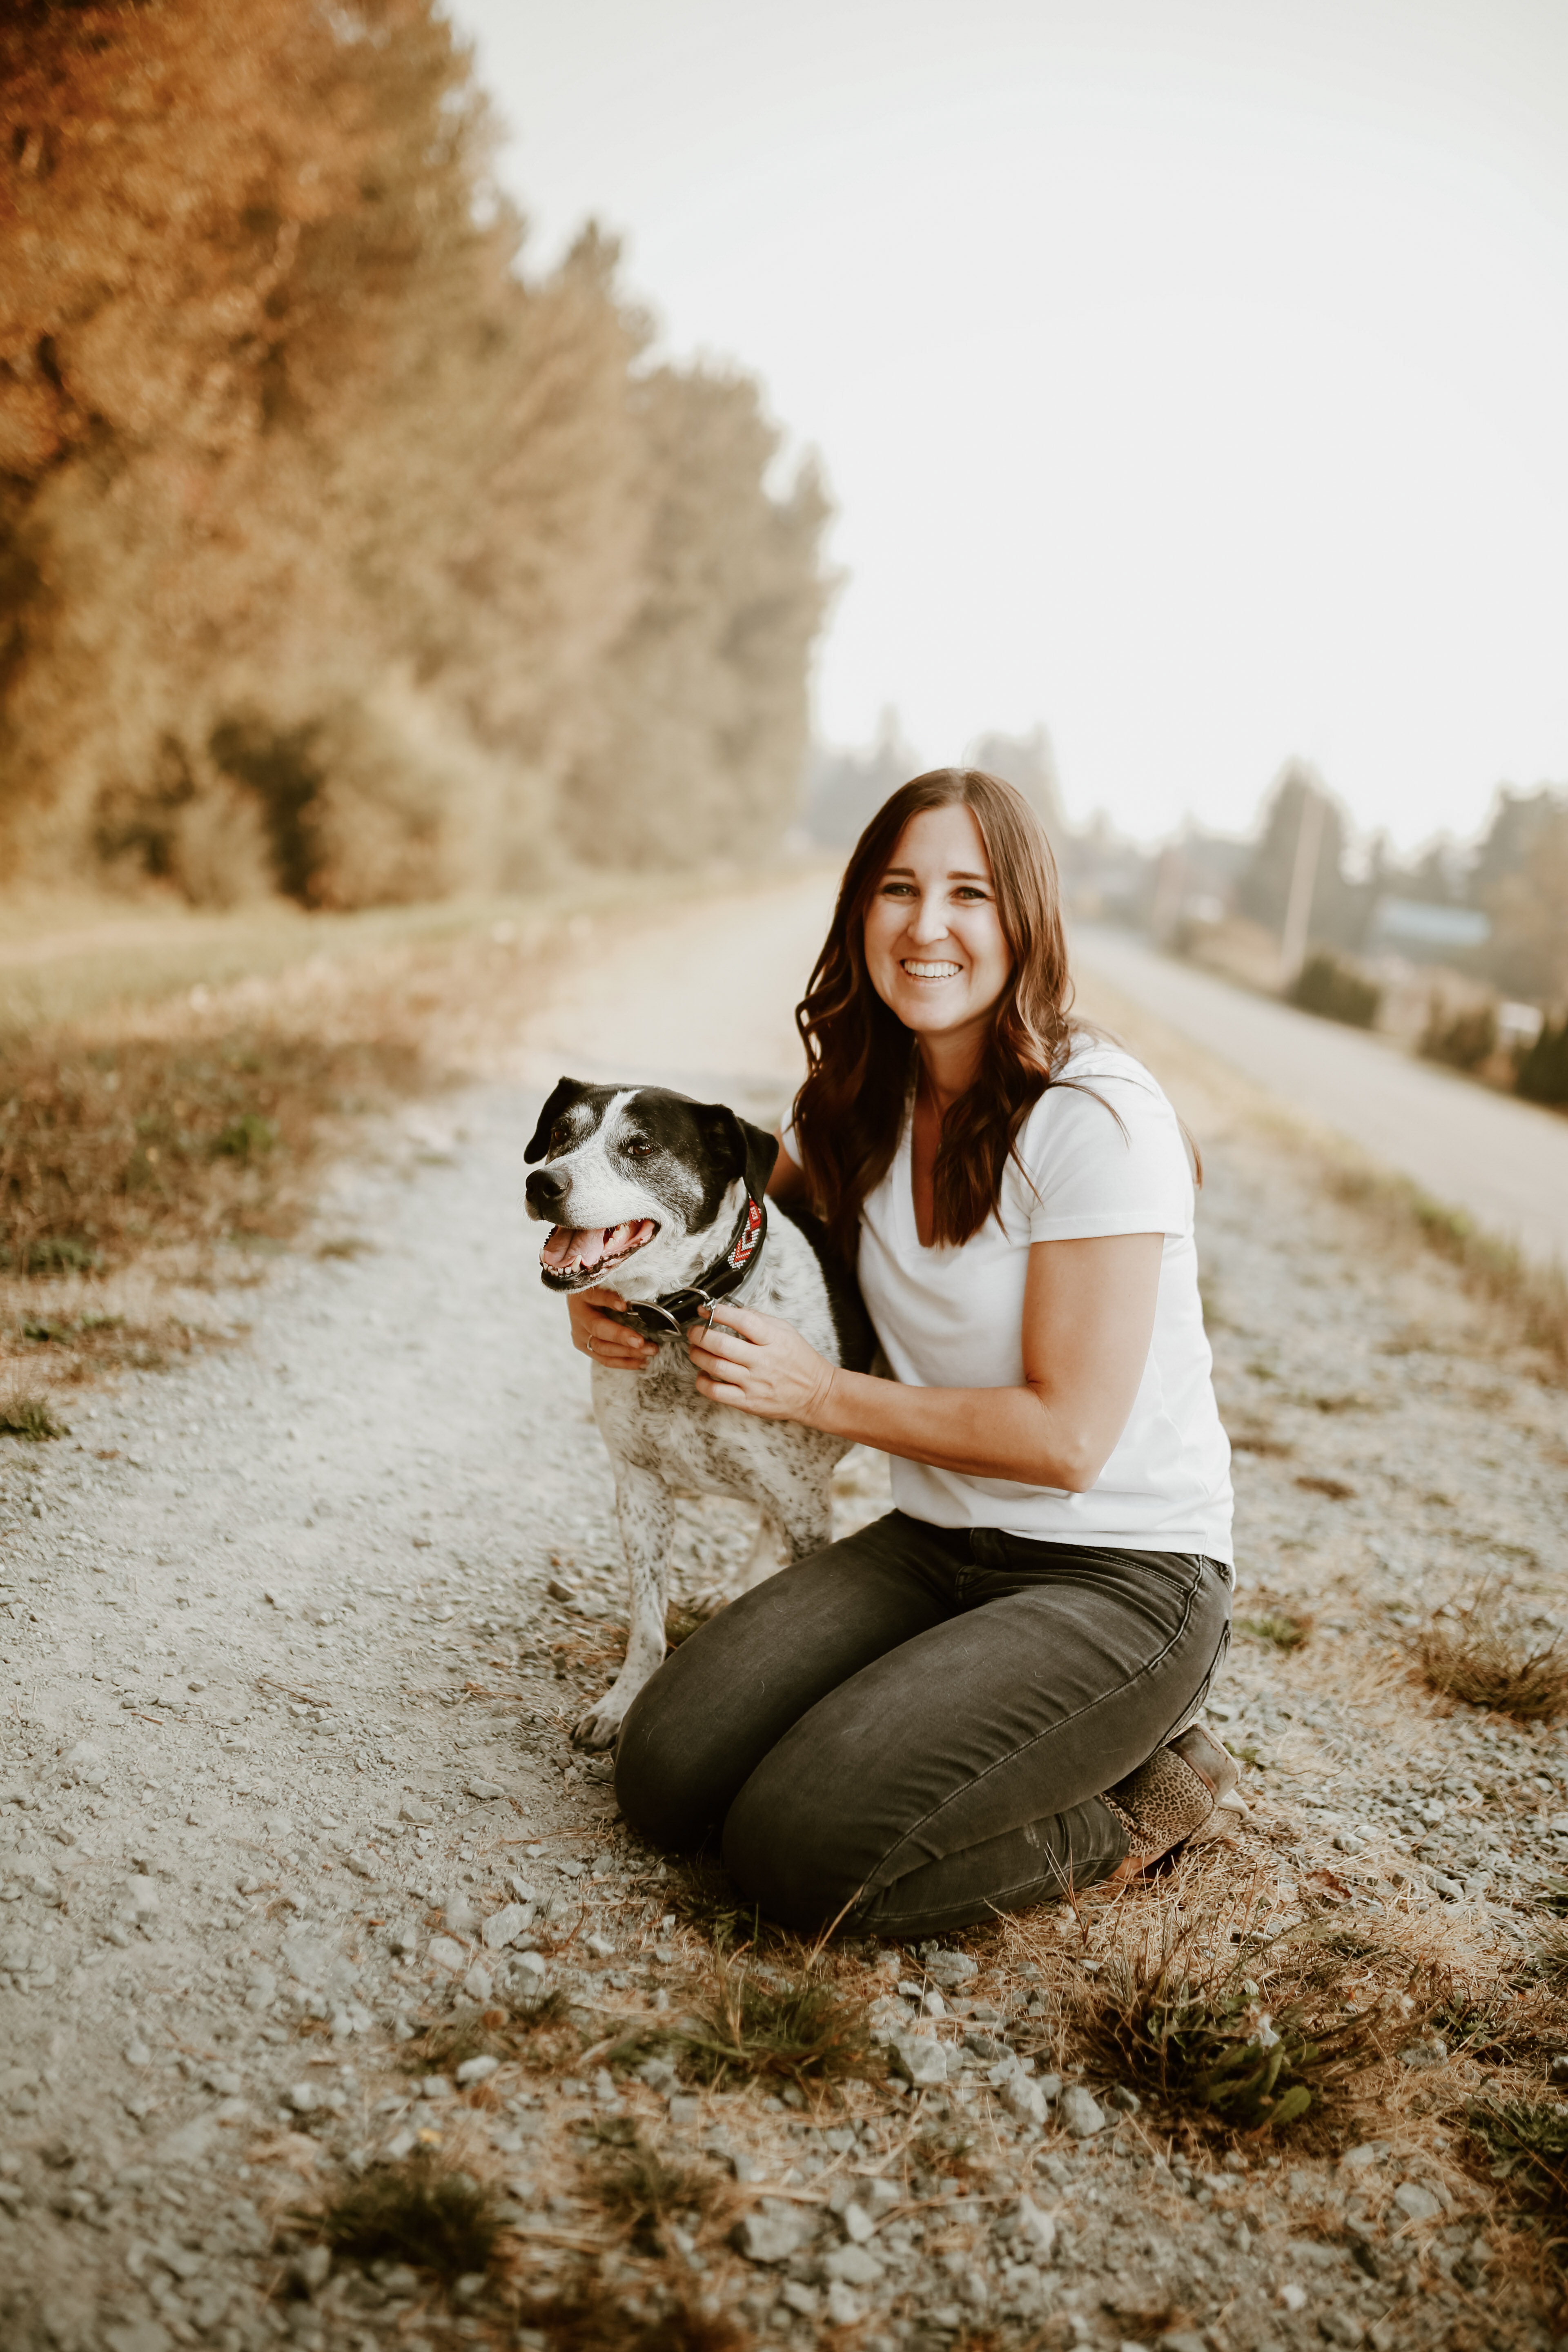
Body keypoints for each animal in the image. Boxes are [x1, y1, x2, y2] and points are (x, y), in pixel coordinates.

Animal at [524, 1082, 870, 1750]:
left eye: (640, 1147)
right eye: (558, 1133)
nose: (540, 1183)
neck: (677, 1320)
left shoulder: (806, 1508)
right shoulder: (640, 1487)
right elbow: (648, 1624)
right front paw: (621, 1703)